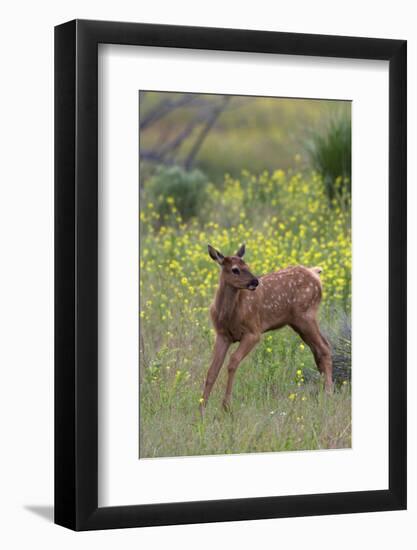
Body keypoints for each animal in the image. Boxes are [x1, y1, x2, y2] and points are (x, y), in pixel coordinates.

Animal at [200, 245, 334, 414]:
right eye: (235, 269)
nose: (255, 281)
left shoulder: (253, 331)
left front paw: (226, 406)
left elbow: (233, 362)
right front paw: (201, 408)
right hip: (299, 322)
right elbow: (212, 370)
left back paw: (328, 394)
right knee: (317, 349)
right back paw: (323, 389)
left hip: (306, 316)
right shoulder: (222, 335)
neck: (229, 315)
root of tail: (315, 273)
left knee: (324, 347)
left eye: (247, 265)